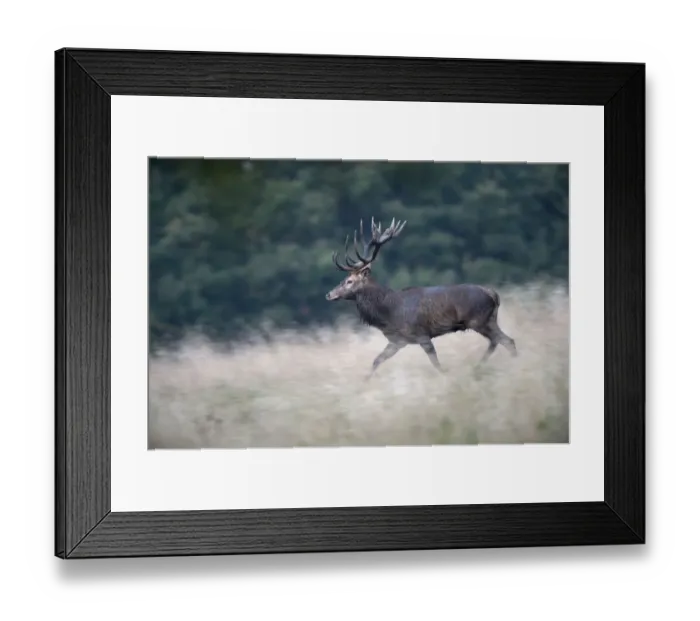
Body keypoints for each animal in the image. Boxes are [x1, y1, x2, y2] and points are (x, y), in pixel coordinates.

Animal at [325, 217, 517, 380]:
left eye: (349, 281)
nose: (329, 294)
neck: (389, 313)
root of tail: (493, 294)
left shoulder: (421, 334)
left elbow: (436, 363)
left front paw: (446, 376)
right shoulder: (397, 341)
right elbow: (376, 360)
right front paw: (364, 382)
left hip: (478, 320)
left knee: (502, 340)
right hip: (489, 319)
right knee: (503, 340)